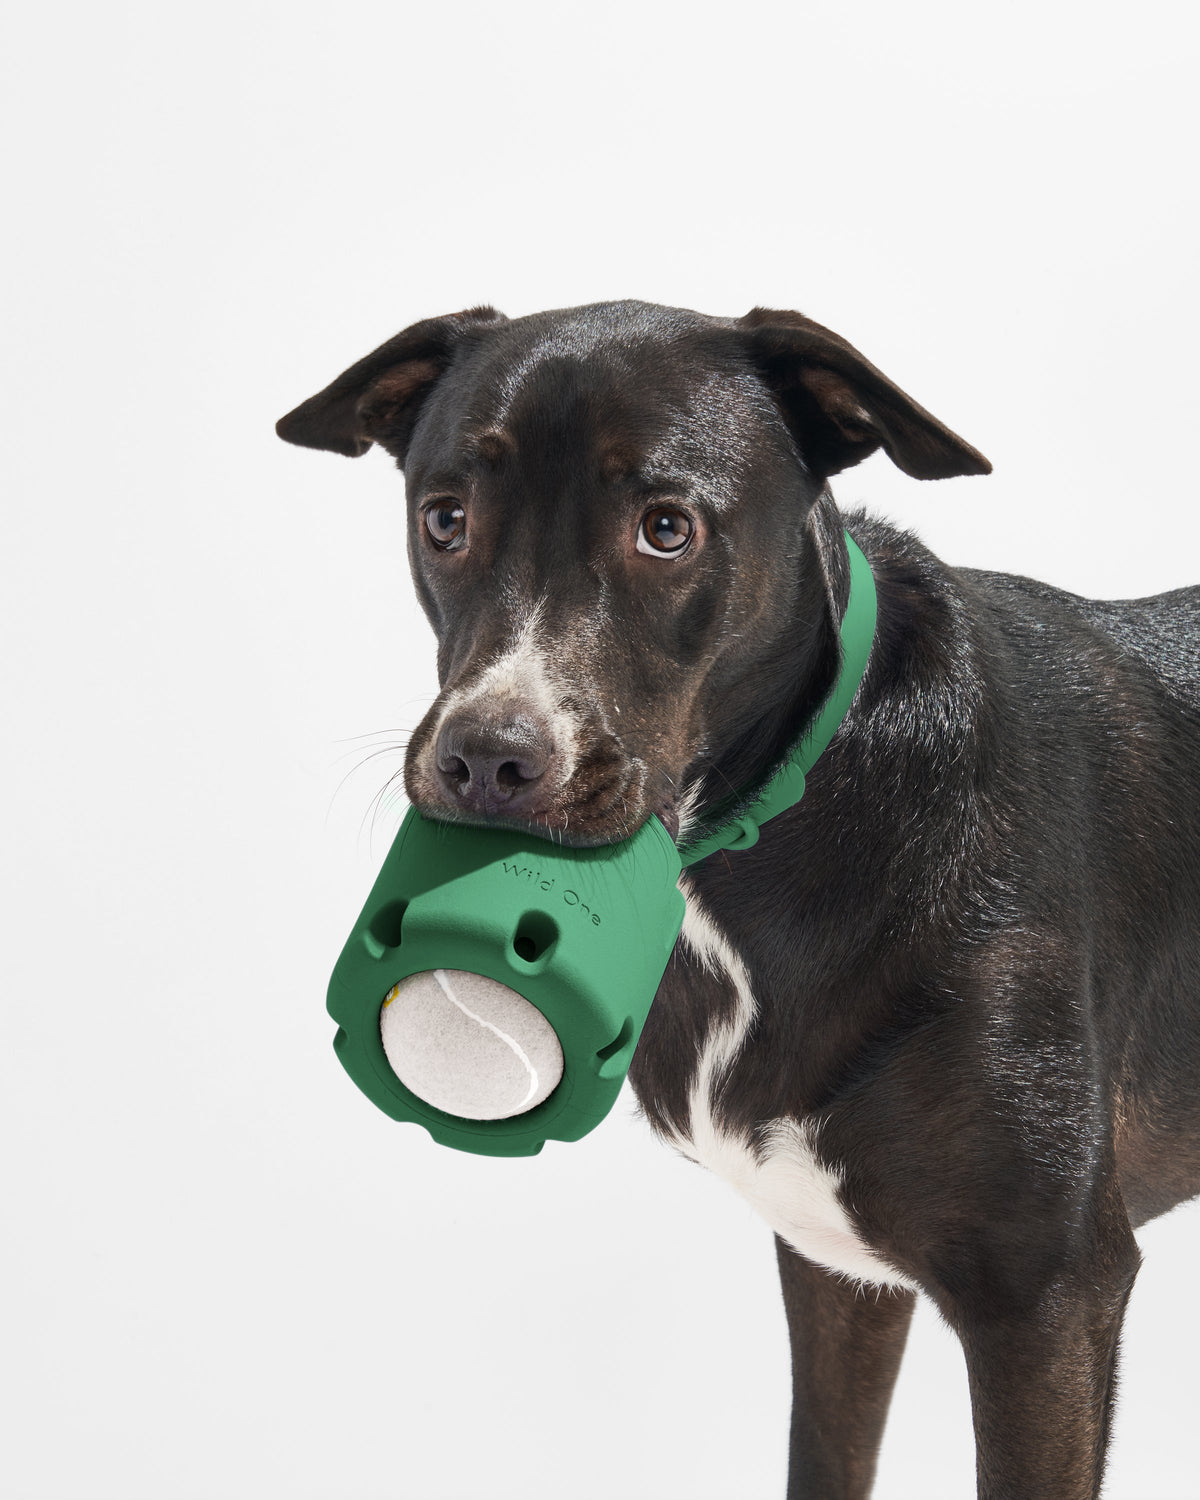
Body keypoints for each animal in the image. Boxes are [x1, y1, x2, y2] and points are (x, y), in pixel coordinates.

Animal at [277, 300, 1200, 1499]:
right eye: (446, 520)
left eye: (667, 529)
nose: (485, 759)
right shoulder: (839, 1273)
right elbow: (825, 1457)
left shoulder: (1047, 1298)